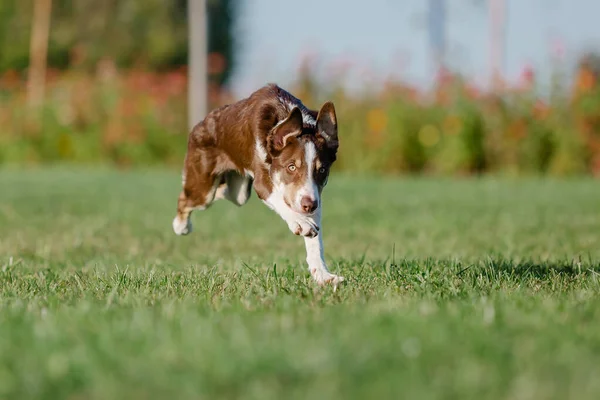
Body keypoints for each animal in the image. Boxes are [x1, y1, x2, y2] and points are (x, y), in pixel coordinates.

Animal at [171, 83, 344, 288]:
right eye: (291, 167)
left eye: (322, 169)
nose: (309, 205)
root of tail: (201, 123)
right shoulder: (265, 182)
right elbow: (280, 200)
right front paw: (300, 222)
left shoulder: (312, 193)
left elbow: (315, 242)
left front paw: (323, 276)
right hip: (203, 188)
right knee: (186, 198)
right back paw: (181, 226)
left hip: (239, 193)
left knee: (225, 192)